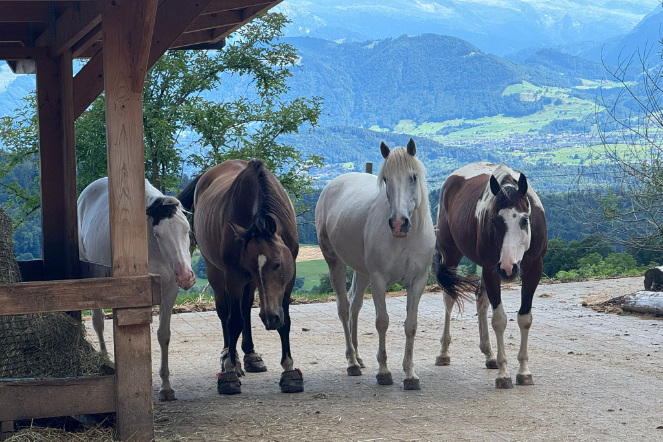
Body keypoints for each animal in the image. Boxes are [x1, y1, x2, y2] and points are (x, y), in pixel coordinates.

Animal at [77, 177, 196, 401]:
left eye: (186, 229)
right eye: (159, 234)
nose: (186, 276)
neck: (155, 249)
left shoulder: (170, 291)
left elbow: (163, 334)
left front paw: (166, 387)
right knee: (98, 322)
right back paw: (106, 359)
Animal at [177, 159, 303, 395]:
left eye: (277, 264)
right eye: (253, 267)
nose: (270, 318)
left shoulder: (288, 279)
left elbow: (285, 321)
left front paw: (289, 371)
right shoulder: (235, 276)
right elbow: (233, 321)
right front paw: (228, 372)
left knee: (245, 308)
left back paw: (250, 354)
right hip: (216, 272)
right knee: (224, 311)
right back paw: (230, 356)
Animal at [315, 139, 435, 390]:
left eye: (413, 177)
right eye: (386, 179)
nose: (399, 224)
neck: (404, 240)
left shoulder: (417, 282)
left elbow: (411, 325)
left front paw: (410, 374)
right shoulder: (379, 279)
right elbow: (382, 322)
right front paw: (384, 372)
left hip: (362, 272)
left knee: (355, 304)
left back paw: (359, 358)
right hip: (336, 264)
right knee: (344, 308)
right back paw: (352, 362)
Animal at [434, 162, 547, 389]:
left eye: (524, 220)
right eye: (495, 221)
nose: (508, 267)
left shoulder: (534, 269)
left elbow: (524, 318)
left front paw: (524, 371)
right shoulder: (490, 269)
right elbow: (499, 320)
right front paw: (504, 375)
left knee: (481, 301)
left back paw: (489, 355)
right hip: (451, 255)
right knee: (449, 297)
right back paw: (444, 353)